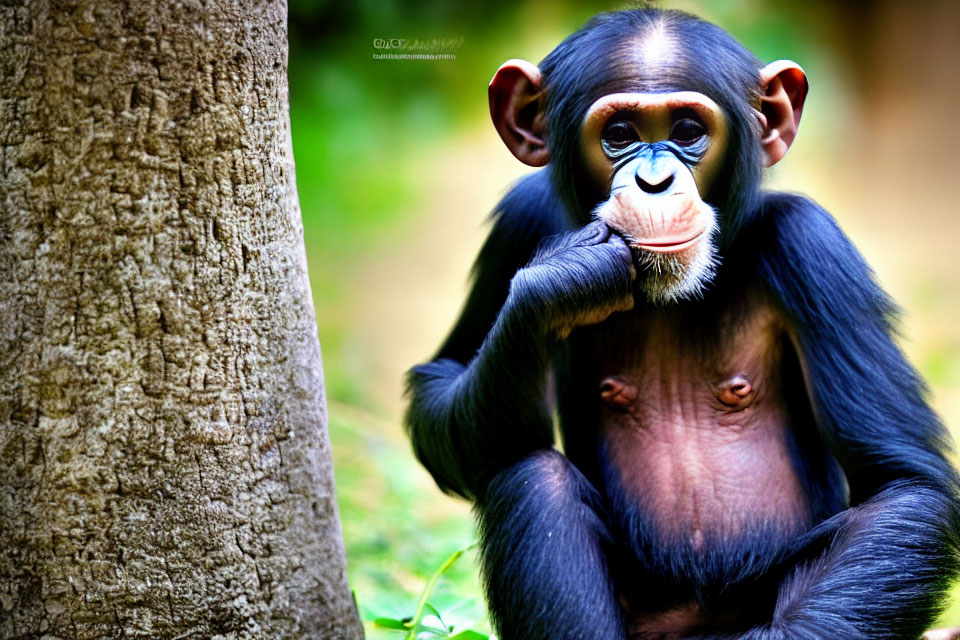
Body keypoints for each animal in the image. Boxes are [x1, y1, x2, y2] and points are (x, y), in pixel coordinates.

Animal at [402, 10, 956, 640]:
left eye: (688, 130)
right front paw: (560, 279)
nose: (653, 182)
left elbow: (900, 483)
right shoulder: (518, 222)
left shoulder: (813, 249)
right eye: (620, 134)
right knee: (533, 480)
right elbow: (441, 380)